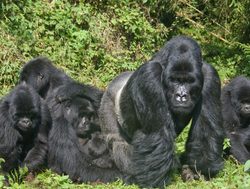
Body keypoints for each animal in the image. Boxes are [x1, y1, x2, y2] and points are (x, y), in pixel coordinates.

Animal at [99, 35, 225, 188]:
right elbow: (158, 133)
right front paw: (154, 181)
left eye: (189, 81)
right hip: (107, 102)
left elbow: (206, 129)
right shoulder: (149, 74)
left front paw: (197, 170)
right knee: (117, 141)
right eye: (175, 80)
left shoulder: (210, 75)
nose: (181, 96)